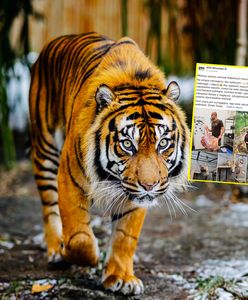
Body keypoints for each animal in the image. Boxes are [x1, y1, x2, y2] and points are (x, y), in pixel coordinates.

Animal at [28, 31, 189, 294]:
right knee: (49, 208)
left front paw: (120, 277)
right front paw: (76, 252)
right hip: (46, 149)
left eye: (163, 143)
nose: (150, 185)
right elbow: (79, 237)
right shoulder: (69, 178)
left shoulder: (134, 197)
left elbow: (125, 237)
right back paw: (55, 248)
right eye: (127, 144)